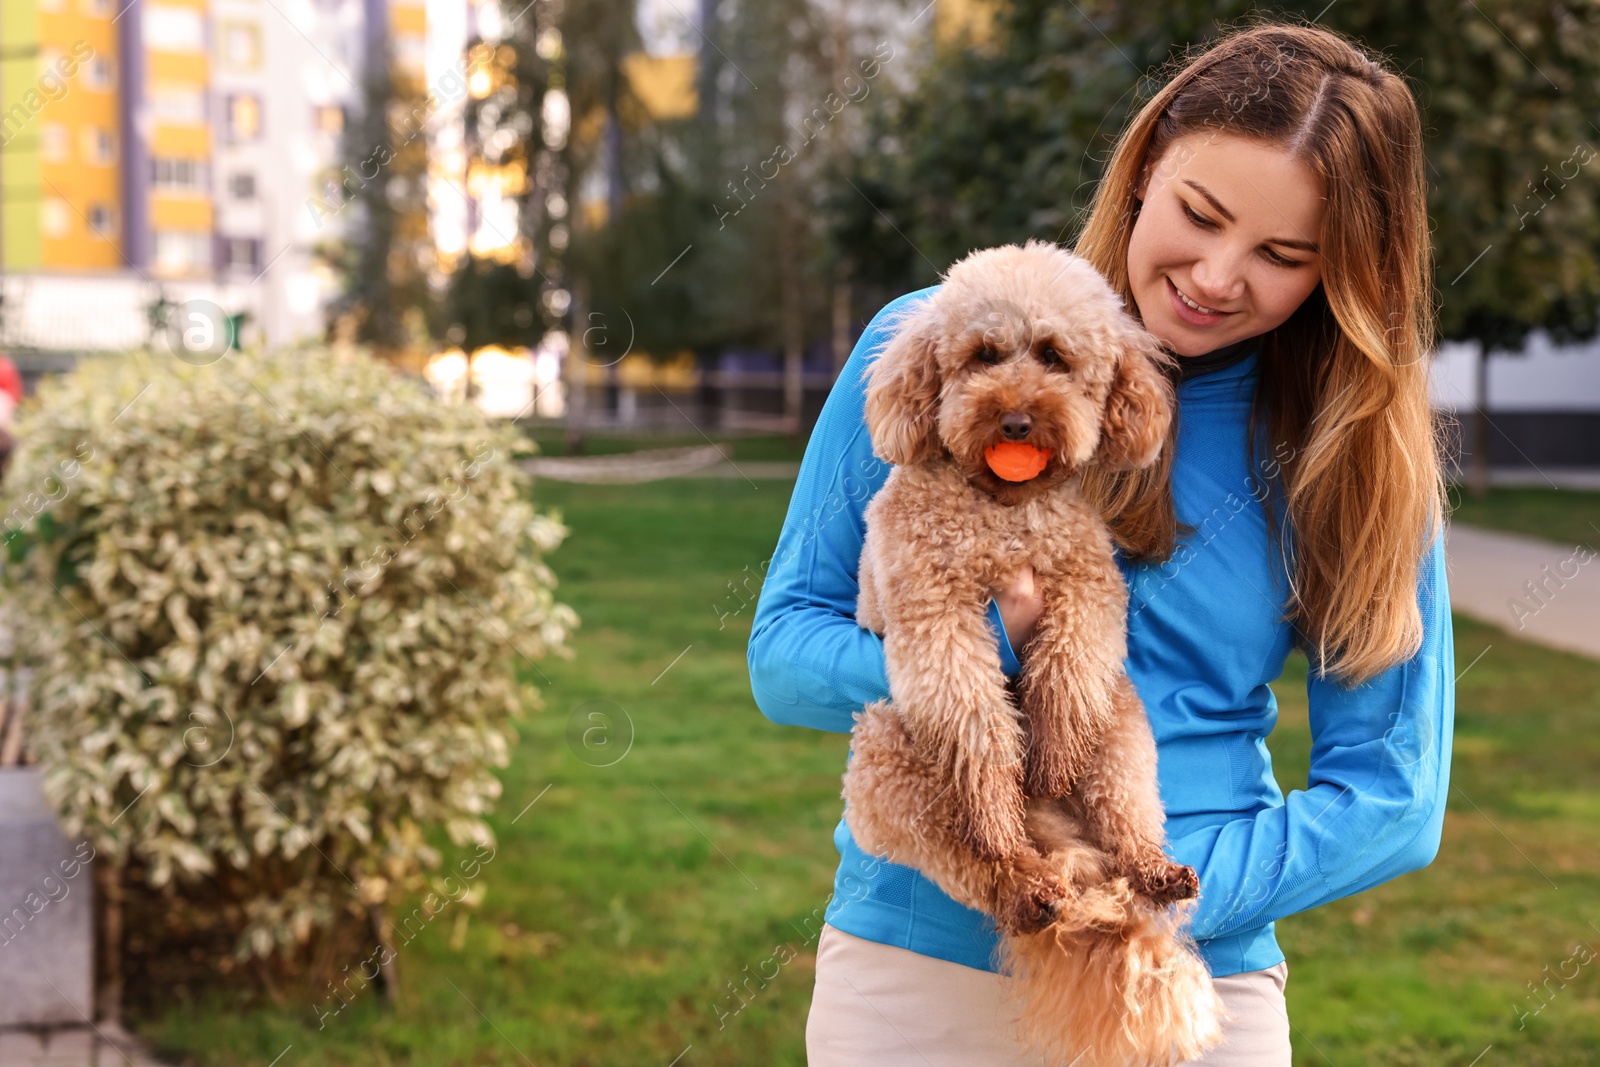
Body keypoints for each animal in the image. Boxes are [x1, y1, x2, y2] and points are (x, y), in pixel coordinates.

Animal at [851, 241, 1222, 1067]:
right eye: (983, 356)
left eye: (1054, 356)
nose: (1017, 418)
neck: (1005, 512)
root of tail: (1057, 840)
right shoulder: (937, 611)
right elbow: (977, 722)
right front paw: (997, 799)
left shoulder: (1087, 587)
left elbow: (1068, 666)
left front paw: (1048, 752)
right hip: (888, 756)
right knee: (974, 859)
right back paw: (1024, 882)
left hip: (1119, 718)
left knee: (1124, 808)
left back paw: (1153, 868)